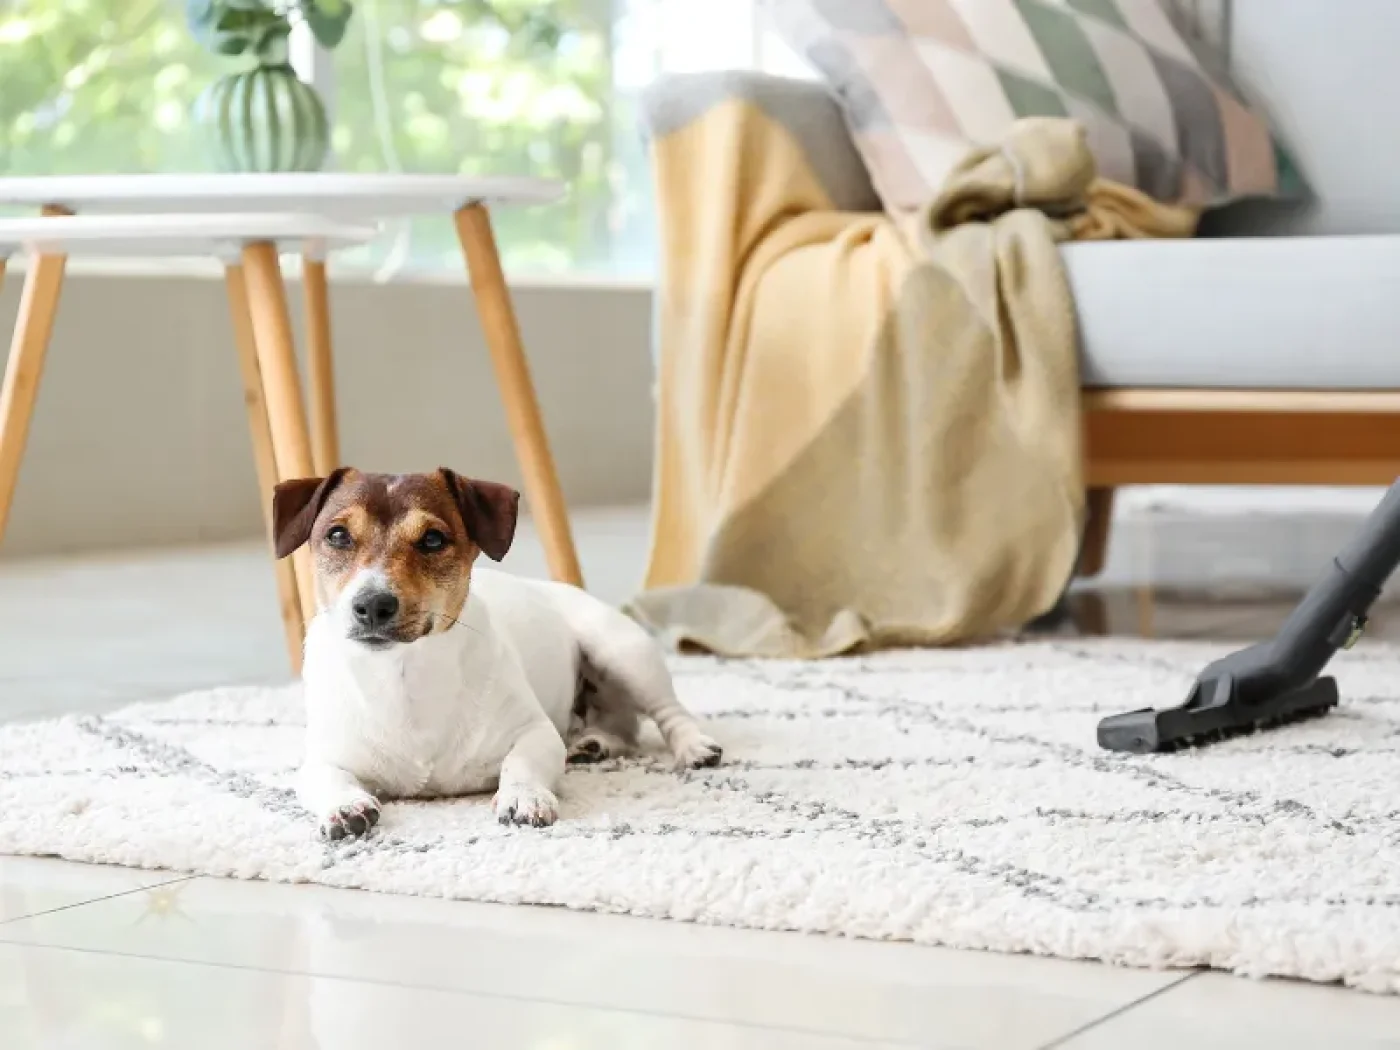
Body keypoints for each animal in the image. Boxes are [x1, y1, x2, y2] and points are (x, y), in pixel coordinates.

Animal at [271, 467, 722, 840]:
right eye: (337, 535)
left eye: (432, 539)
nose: (372, 604)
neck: (405, 676)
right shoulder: (323, 756)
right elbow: (324, 778)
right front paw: (345, 806)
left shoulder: (535, 732)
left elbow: (520, 762)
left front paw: (523, 796)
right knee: (623, 728)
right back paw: (595, 743)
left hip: (622, 652)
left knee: (668, 712)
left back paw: (694, 747)